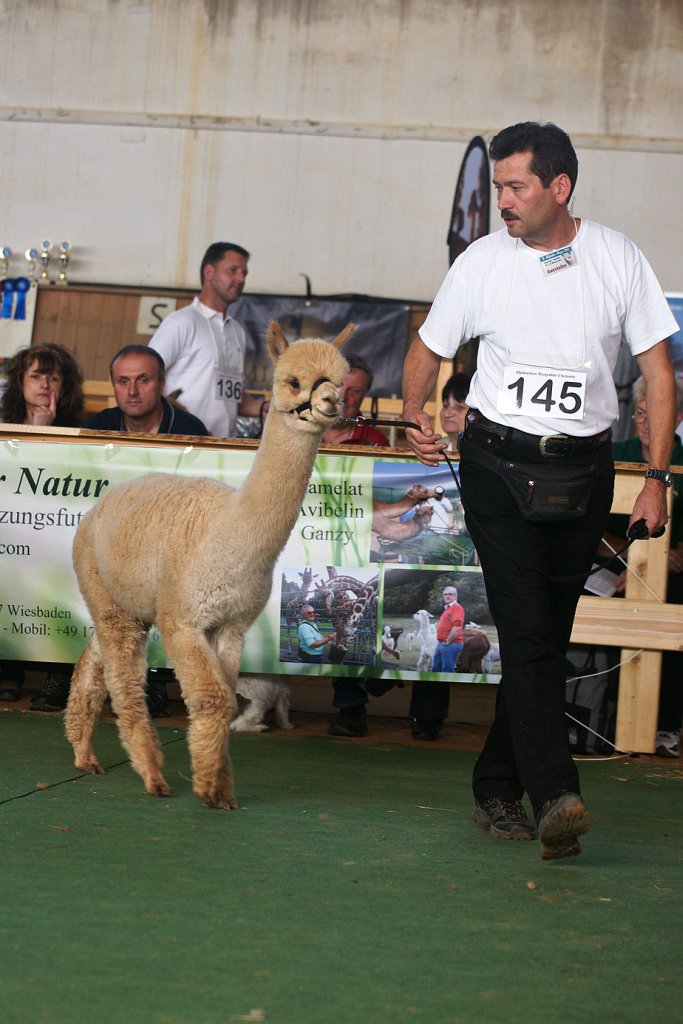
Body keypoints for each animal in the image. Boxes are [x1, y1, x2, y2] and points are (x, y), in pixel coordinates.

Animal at [64, 321, 351, 809]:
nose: (332, 401)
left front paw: (220, 787)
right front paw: (208, 788)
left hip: (128, 605)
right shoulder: (183, 619)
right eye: (294, 381)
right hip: (106, 593)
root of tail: (98, 506)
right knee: (125, 683)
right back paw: (152, 775)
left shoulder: (231, 624)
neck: (229, 532)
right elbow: (213, 699)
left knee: (91, 664)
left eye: (340, 379)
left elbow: (225, 699)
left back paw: (85, 755)